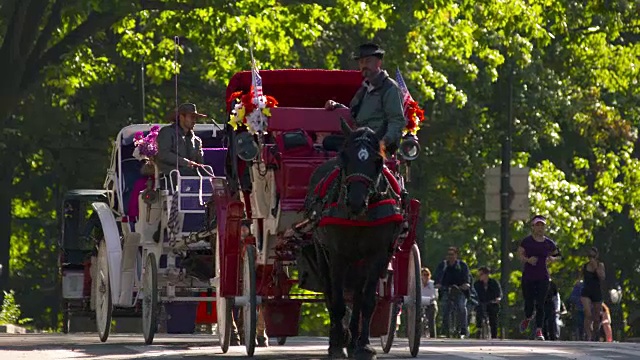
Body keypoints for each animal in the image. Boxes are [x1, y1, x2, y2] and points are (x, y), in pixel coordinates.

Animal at [306, 119, 404, 358]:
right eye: (344, 156)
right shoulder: (337, 255)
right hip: (321, 253)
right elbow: (338, 301)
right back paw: (339, 338)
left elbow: (367, 301)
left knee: (358, 296)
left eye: (378, 160)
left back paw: (352, 340)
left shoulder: (377, 255)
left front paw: (364, 345)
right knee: (330, 293)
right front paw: (337, 344)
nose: (356, 202)